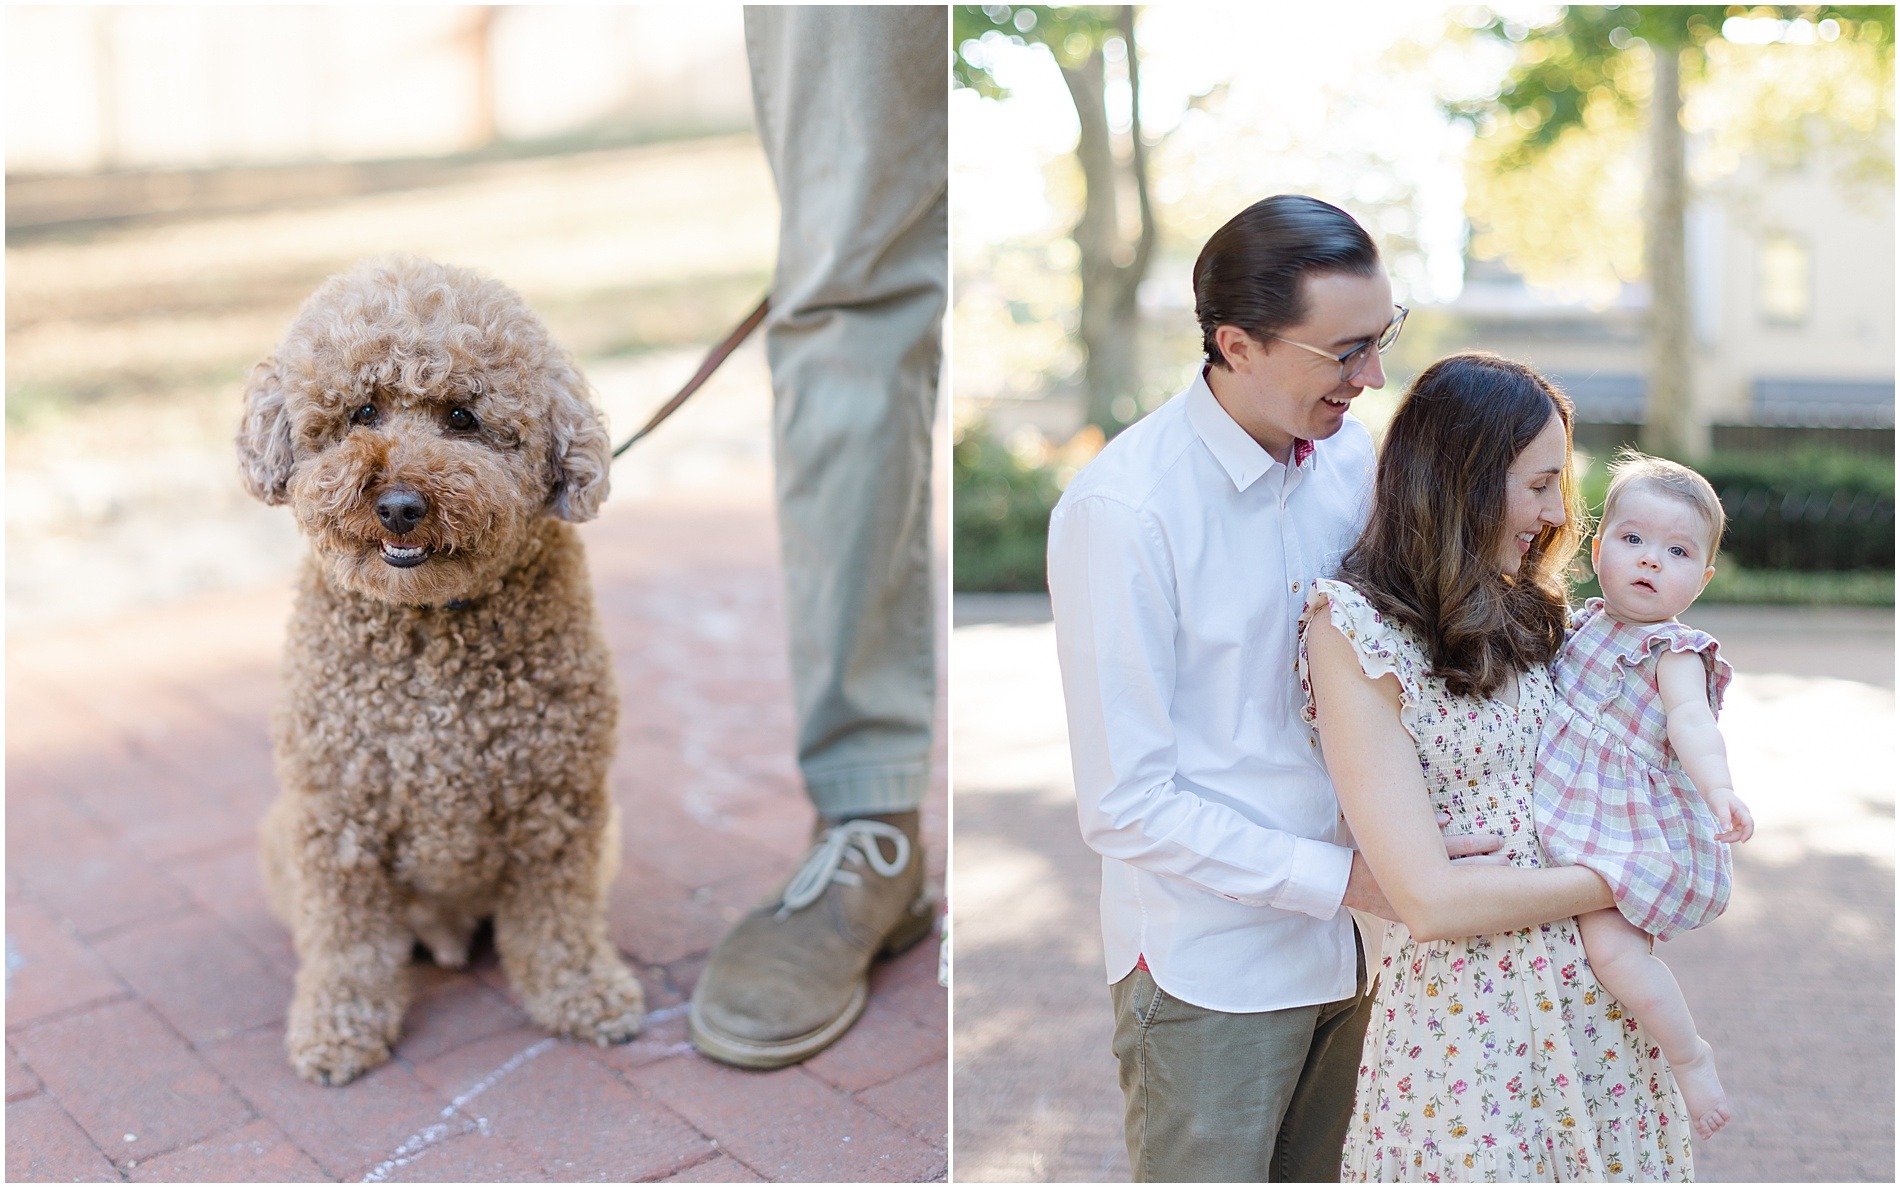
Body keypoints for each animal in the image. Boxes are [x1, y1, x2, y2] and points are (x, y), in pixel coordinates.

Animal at [237, 256, 646, 1087]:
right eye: (362, 411)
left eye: (462, 416)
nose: (399, 505)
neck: (430, 624)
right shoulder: (336, 818)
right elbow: (348, 943)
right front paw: (338, 1028)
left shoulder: (558, 805)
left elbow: (558, 920)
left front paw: (583, 993)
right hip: (280, 835)